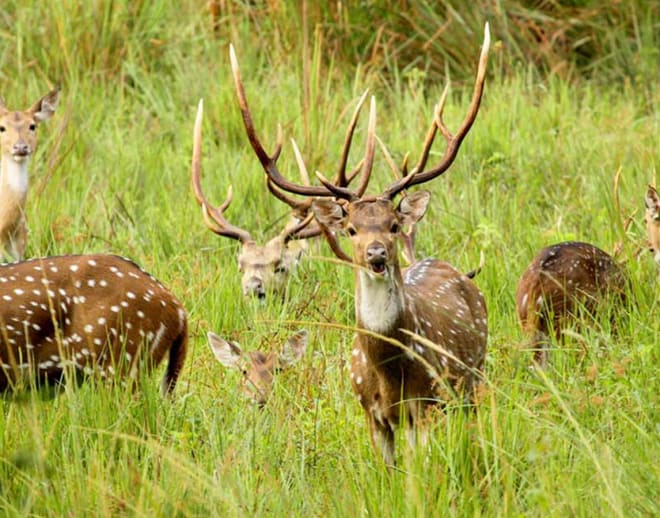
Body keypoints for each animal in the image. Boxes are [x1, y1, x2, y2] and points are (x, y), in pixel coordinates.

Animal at [231, 25, 490, 468]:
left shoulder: (425, 402)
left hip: (472, 377)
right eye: (351, 229)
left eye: (392, 224)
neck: (387, 371)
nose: (377, 253)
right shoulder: (370, 410)